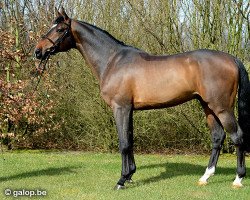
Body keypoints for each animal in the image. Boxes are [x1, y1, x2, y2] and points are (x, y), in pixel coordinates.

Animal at [34, 7, 250, 189]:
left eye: (60, 29)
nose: (38, 51)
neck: (113, 60)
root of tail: (231, 59)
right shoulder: (128, 109)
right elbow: (130, 141)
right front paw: (130, 174)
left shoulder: (120, 108)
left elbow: (123, 143)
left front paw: (121, 180)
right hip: (207, 106)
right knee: (218, 137)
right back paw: (205, 177)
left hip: (222, 107)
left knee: (237, 136)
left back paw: (238, 179)